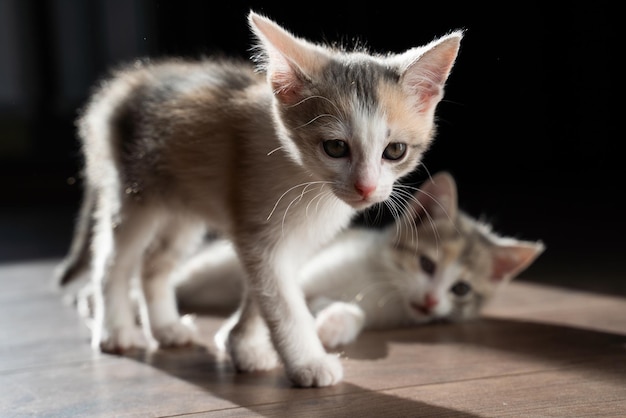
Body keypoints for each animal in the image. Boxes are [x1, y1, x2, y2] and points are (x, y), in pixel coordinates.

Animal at [54, 10, 464, 388]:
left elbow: (262, 290)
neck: (307, 181)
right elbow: (282, 301)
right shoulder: (259, 231)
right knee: (112, 261)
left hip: (182, 208)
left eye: (395, 151)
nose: (365, 188)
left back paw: (167, 327)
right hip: (134, 194)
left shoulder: (288, 239)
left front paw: (243, 345)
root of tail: (126, 82)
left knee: (154, 263)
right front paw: (307, 362)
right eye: (335, 147)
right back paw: (116, 331)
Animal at [174, 171, 540, 348]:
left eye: (461, 289)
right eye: (426, 264)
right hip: (211, 267)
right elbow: (271, 299)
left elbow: (337, 309)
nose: (431, 302)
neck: (383, 284)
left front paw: (333, 326)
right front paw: (236, 335)